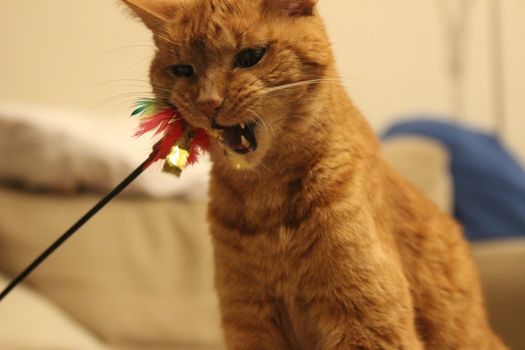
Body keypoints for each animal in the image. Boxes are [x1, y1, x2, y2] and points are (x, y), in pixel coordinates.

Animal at [122, 1, 504, 348]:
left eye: (250, 56)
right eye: (183, 70)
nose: (208, 103)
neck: (265, 200)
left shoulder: (367, 322)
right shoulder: (248, 320)